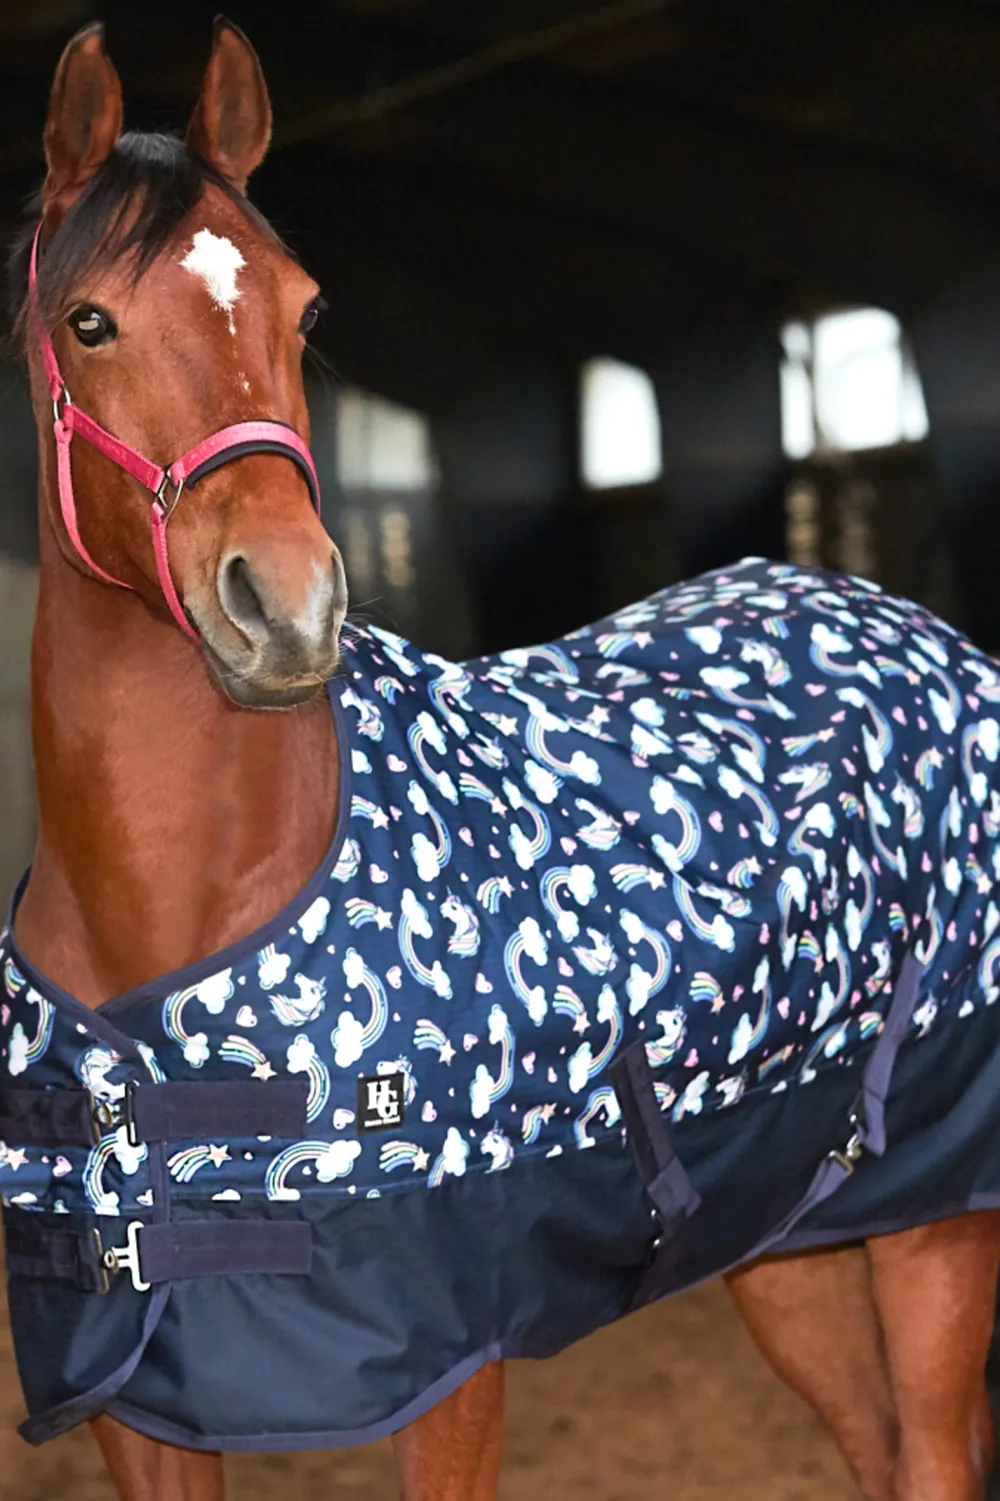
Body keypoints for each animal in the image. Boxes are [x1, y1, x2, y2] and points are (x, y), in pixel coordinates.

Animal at [3, 19, 1000, 1501]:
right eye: (89, 321)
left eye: (305, 313)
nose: (286, 604)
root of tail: (919, 629)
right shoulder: (140, 1405)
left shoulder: (451, 1380)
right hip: (788, 1243)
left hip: (934, 1228)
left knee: (931, 1449)